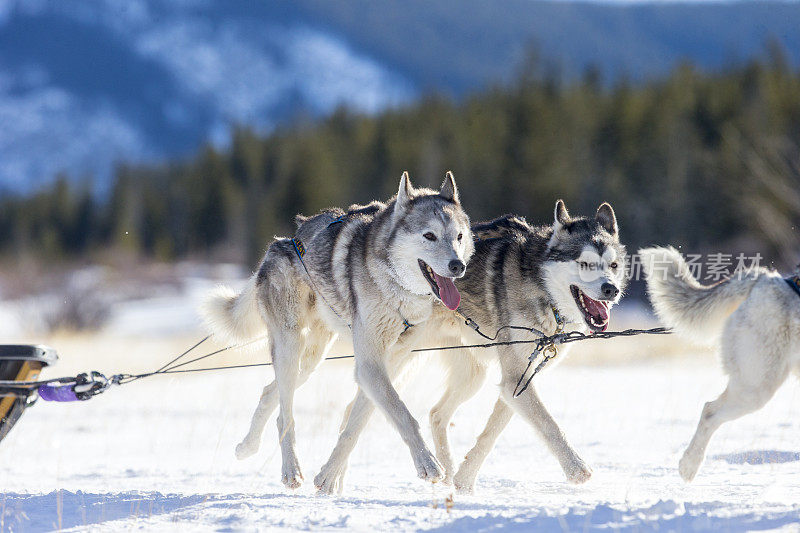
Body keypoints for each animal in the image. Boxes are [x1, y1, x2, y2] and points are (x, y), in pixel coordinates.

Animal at [202, 170, 476, 486]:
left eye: (458, 237)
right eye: (429, 235)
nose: (457, 265)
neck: (396, 290)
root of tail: (283, 241)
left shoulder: (387, 365)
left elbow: (355, 424)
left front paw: (329, 478)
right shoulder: (370, 365)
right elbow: (402, 414)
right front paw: (427, 463)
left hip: (311, 359)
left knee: (270, 392)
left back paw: (248, 446)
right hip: (290, 346)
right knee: (285, 415)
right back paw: (290, 469)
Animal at [316, 200, 628, 490]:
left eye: (613, 266)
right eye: (584, 263)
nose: (611, 289)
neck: (543, 288)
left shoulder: (517, 383)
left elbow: (492, 434)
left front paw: (464, 481)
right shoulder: (516, 379)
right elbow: (549, 424)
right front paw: (577, 469)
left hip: (469, 375)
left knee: (435, 414)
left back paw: (444, 473)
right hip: (395, 362)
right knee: (359, 407)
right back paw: (331, 476)